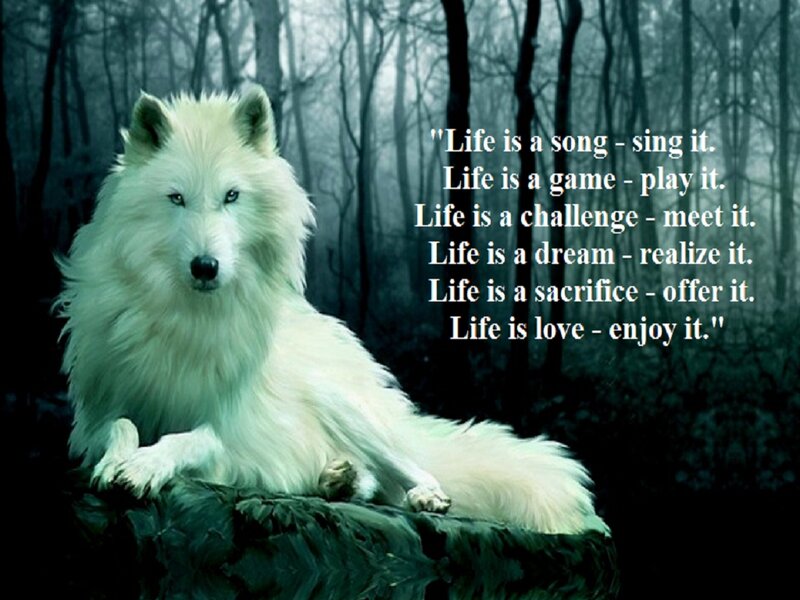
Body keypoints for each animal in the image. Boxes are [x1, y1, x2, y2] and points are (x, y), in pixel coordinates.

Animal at [57, 86, 605, 534]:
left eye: (232, 196)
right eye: (176, 198)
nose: (205, 267)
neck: (185, 316)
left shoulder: (231, 429)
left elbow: (186, 440)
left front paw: (144, 467)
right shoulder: (99, 410)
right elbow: (122, 427)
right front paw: (118, 462)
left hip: (344, 407)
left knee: (409, 467)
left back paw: (421, 494)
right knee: (370, 482)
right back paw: (338, 480)